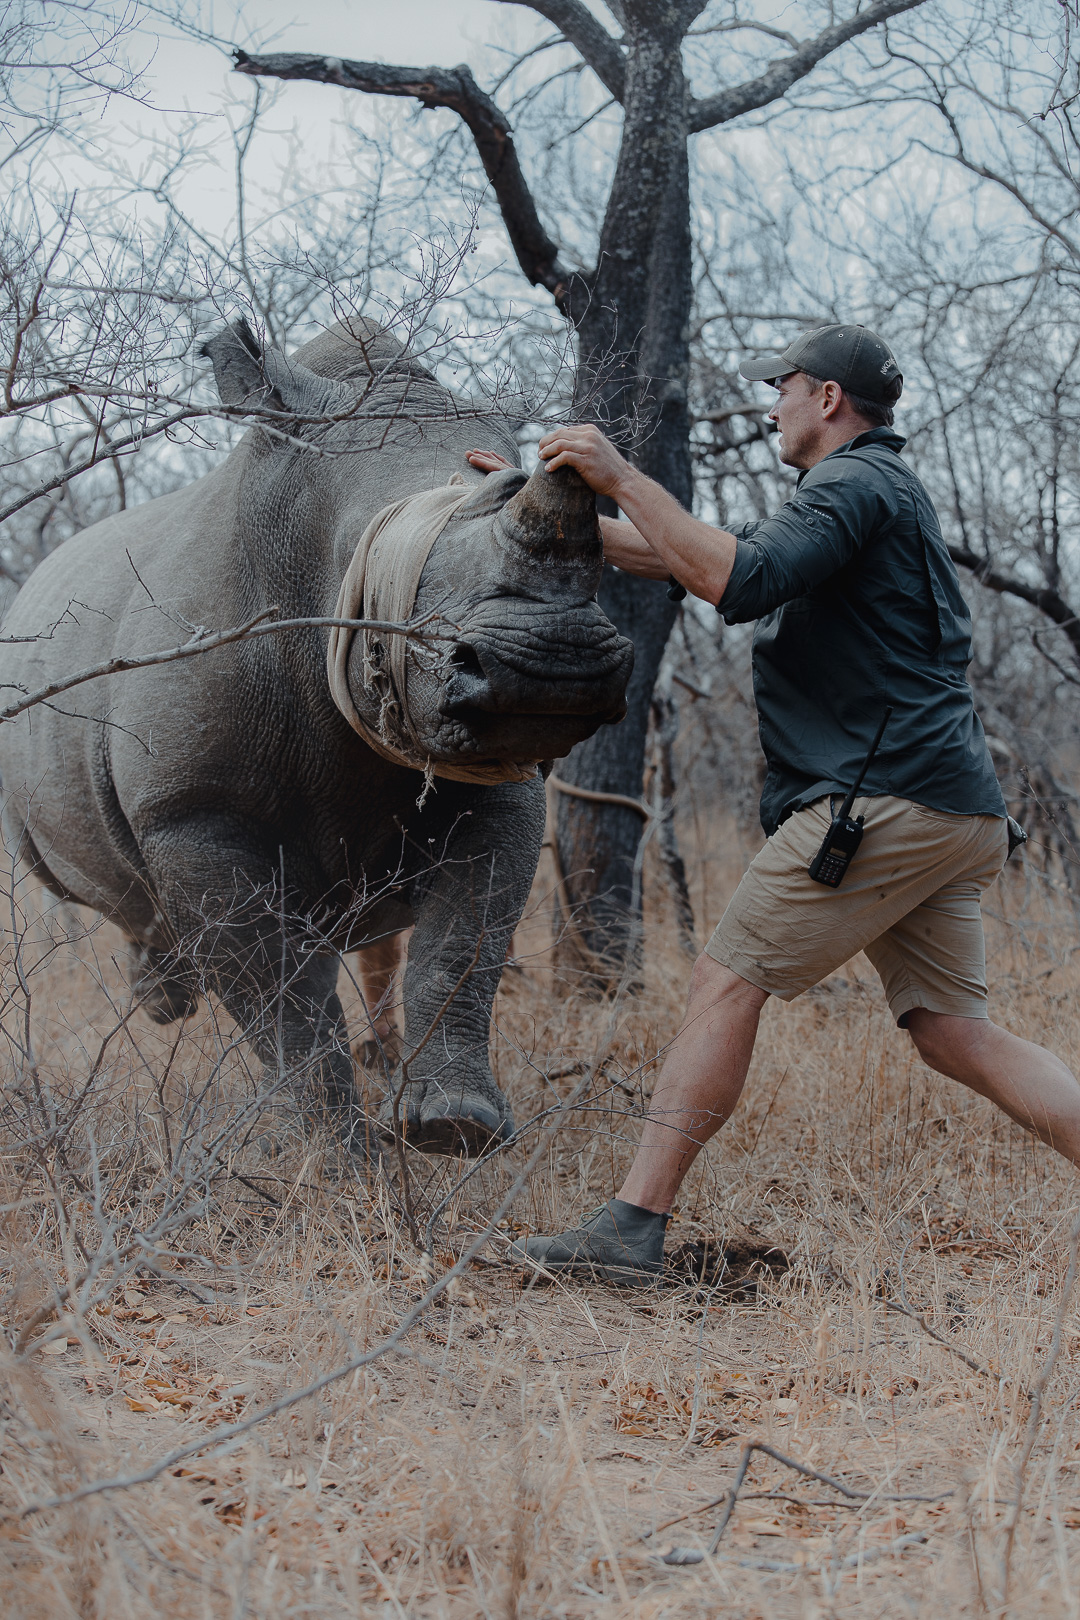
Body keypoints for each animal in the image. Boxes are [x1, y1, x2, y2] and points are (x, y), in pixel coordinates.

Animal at [0, 317, 633, 1157]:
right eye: (370, 557)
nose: (555, 670)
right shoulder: (191, 809)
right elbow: (279, 990)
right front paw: (329, 1150)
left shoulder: (502, 781)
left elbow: (466, 941)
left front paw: (454, 1127)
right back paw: (166, 998)